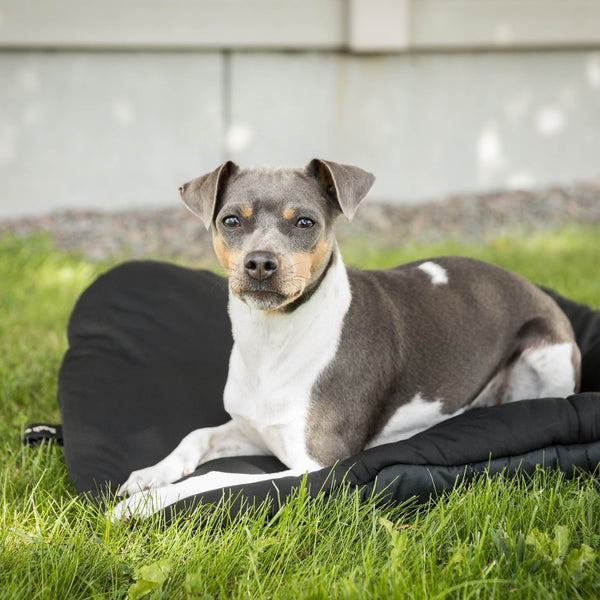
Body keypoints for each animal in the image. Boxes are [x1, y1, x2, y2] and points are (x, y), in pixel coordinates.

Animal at [109, 158, 580, 520]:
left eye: (305, 222)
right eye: (231, 220)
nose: (260, 263)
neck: (274, 340)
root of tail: (535, 287)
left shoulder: (315, 464)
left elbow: (218, 479)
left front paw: (146, 503)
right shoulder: (253, 429)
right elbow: (196, 436)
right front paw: (149, 476)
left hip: (546, 355)